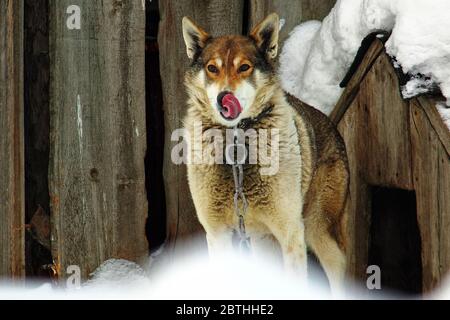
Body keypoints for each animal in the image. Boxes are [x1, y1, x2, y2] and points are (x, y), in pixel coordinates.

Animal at [181, 11, 350, 292]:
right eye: (212, 69)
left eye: (244, 67)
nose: (223, 98)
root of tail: (331, 124)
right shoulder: (217, 233)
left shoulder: (291, 233)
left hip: (318, 230)